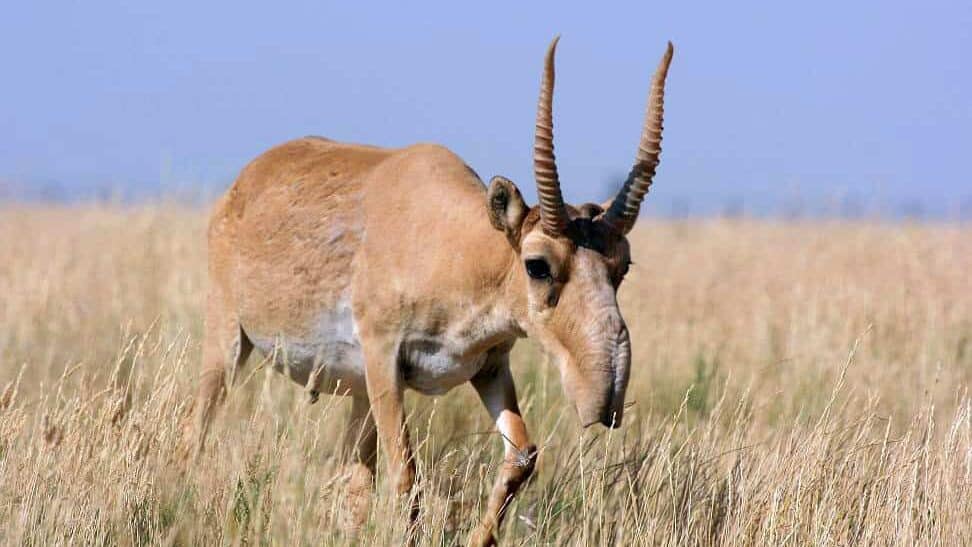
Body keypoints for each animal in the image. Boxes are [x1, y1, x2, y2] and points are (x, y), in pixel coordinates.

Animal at [195, 37, 674, 545]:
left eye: (622, 265)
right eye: (538, 264)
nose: (604, 399)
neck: (456, 246)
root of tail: (245, 182)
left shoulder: (489, 367)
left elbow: (522, 456)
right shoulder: (384, 361)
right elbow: (406, 474)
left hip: (358, 394)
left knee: (352, 479)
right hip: (228, 343)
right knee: (196, 429)